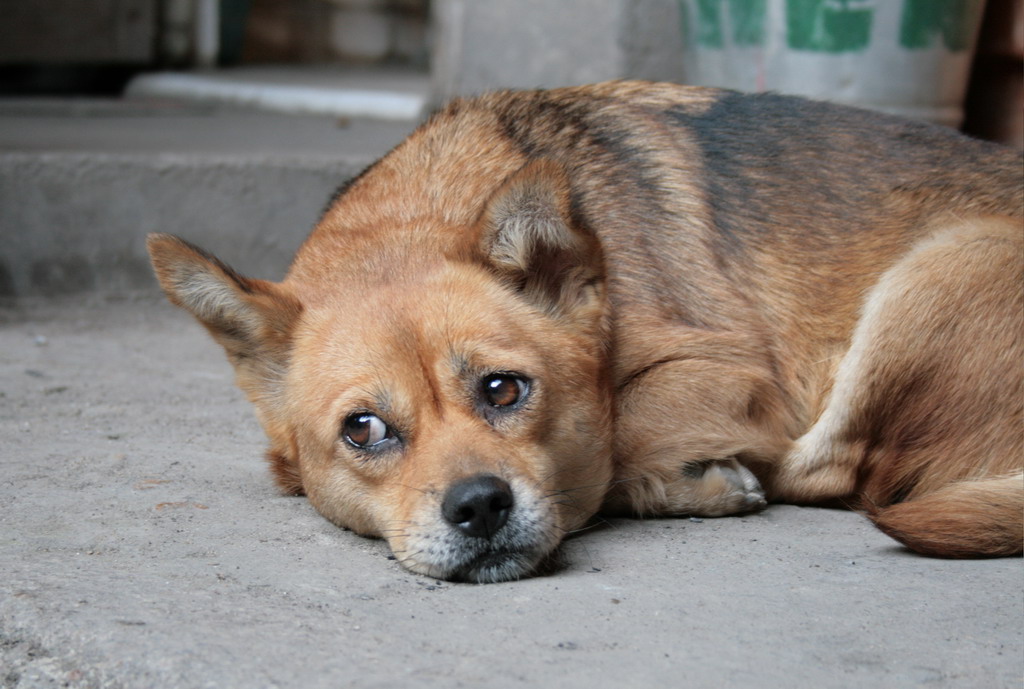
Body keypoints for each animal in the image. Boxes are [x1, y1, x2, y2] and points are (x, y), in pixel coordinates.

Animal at [146, 81, 1024, 581]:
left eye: (505, 389)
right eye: (363, 429)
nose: (479, 507)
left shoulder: (736, 374)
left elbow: (615, 434)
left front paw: (690, 476)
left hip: (943, 264)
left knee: (839, 469)